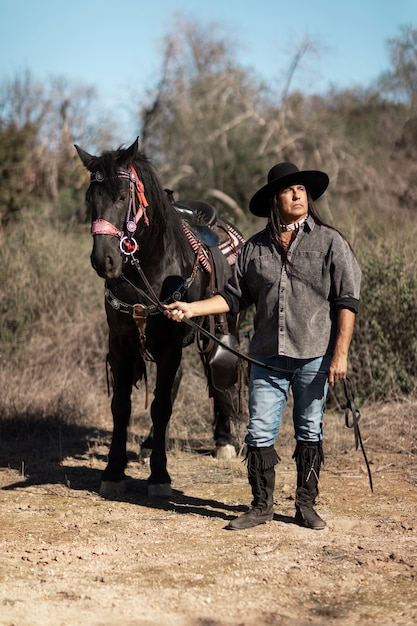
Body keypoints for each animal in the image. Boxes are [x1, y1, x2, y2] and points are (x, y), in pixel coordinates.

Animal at [75, 139, 244, 494]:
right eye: (90, 198)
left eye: (122, 197)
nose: (103, 260)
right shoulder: (121, 344)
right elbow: (122, 406)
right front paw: (114, 470)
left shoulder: (170, 345)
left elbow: (162, 405)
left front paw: (160, 476)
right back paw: (152, 444)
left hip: (220, 327)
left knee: (216, 375)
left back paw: (224, 441)